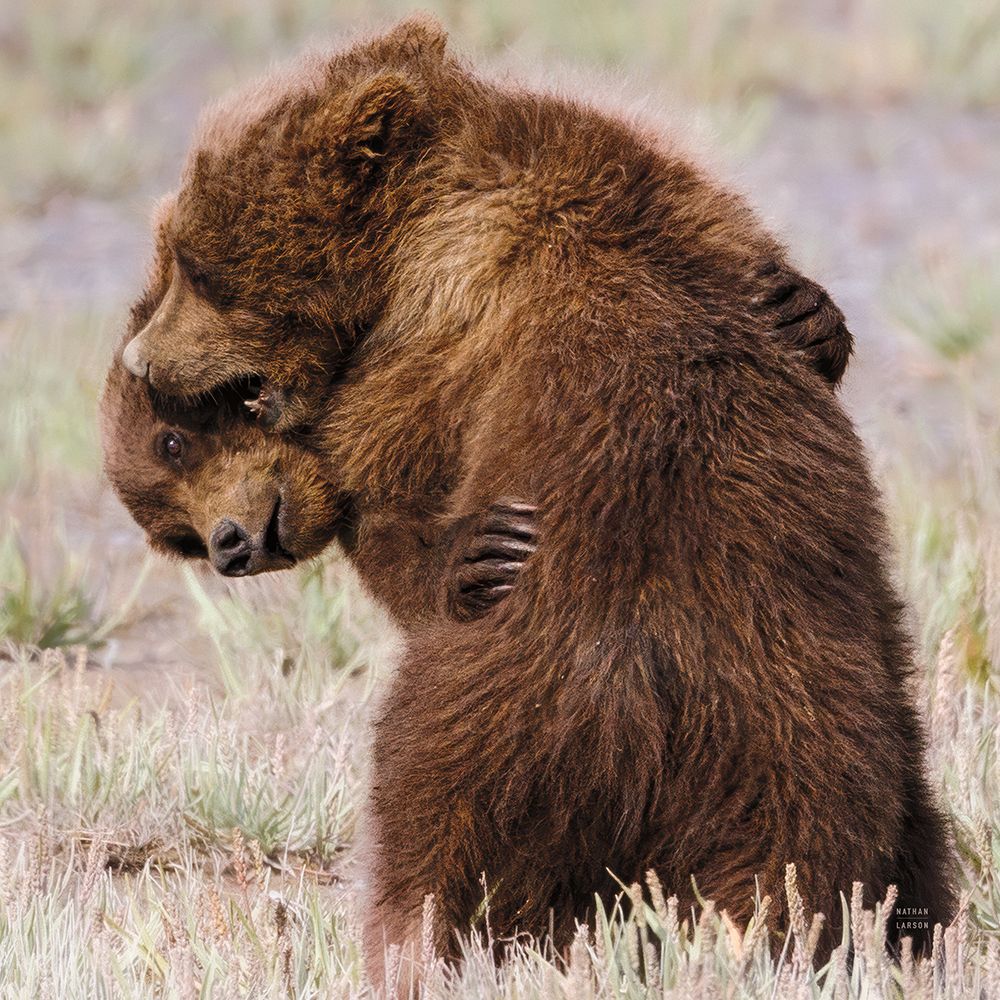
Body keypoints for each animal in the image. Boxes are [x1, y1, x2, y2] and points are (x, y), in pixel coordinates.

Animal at [101, 14, 954, 979]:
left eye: (197, 265)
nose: (140, 358)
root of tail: (646, 696)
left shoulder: (427, 350)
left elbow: (400, 490)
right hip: (815, 730)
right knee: (828, 852)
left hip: (501, 721)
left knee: (428, 827)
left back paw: (415, 941)